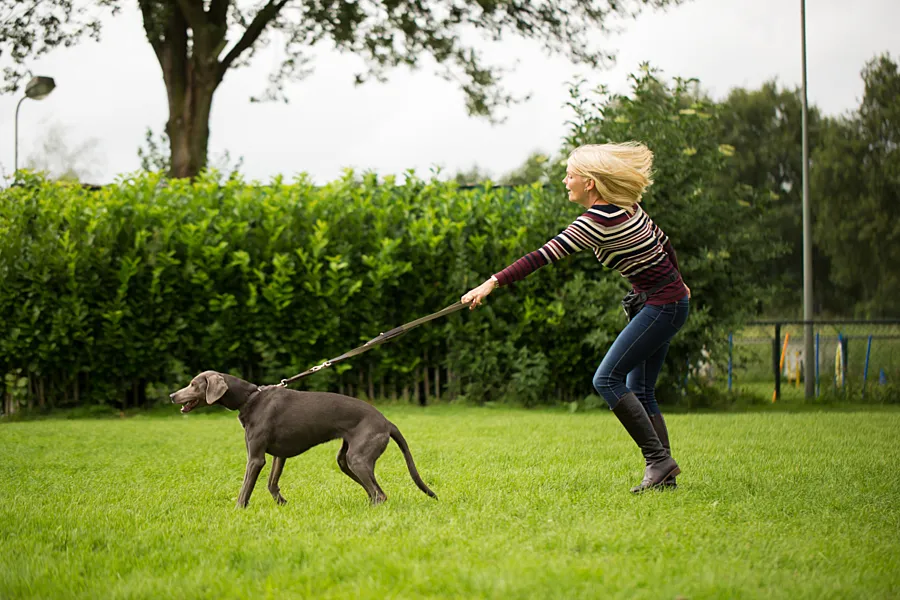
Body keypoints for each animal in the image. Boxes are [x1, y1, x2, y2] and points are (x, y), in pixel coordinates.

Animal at [171, 370, 438, 506]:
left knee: (379, 493)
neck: (249, 398)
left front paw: (238, 510)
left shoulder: (255, 458)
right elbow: (271, 483)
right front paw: (281, 503)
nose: (173, 396)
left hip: (359, 458)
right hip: (346, 459)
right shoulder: (278, 455)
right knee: (376, 491)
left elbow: (246, 488)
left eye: (193, 384)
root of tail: (387, 422)